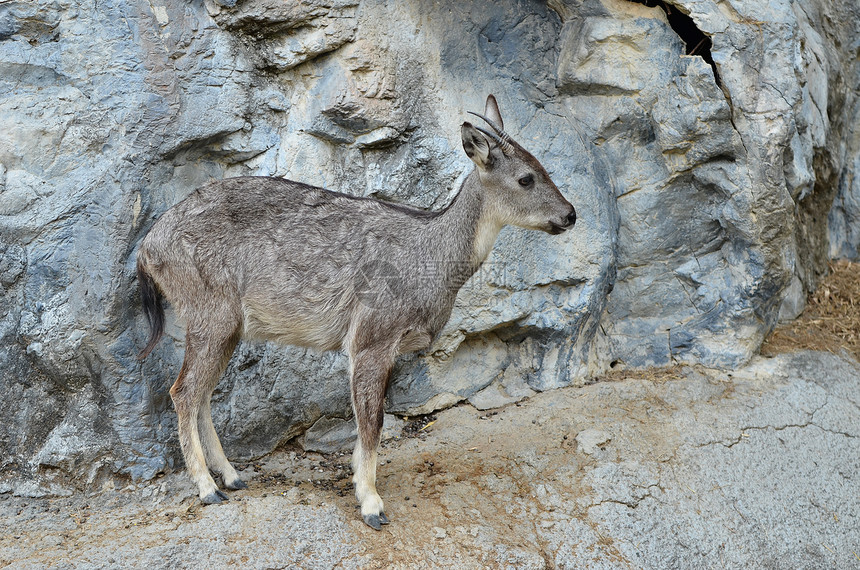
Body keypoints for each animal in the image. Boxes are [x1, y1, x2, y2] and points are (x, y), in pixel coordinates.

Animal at [136, 94, 576, 528]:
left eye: (540, 165)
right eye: (526, 178)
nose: (569, 214)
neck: (429, 255)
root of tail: (148, 249)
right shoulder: (371, 337)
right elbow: (371, 420)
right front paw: (371, 504)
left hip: (226, 328)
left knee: (203, 392)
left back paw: (232, 476)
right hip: (210, 313)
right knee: (183, 391)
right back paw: (207, 488)